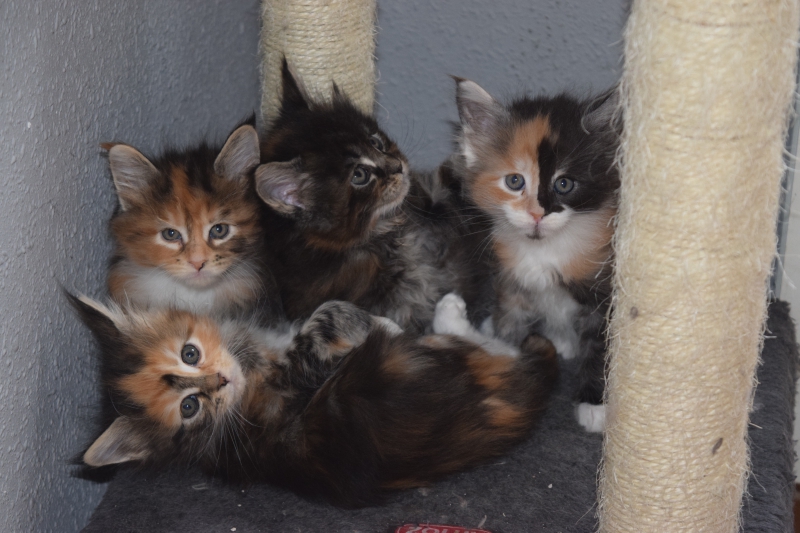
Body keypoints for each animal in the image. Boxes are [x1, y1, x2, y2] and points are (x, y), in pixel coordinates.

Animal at [71, 292, 558, 507]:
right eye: (189, 408)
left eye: (190, 353)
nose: (221, 380)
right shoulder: (300, 375)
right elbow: (325, 312)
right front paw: (381, 322)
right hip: (444, 358)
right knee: (490, 345)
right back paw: (451, 314)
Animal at [450, 77, 620, 432]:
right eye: (515, 181)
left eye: (564, 184)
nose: (537, 215)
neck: (544, 250)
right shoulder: (512, 282)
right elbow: (510, 326)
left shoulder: (603, 292)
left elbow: (599, 350)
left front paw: (594, 403)